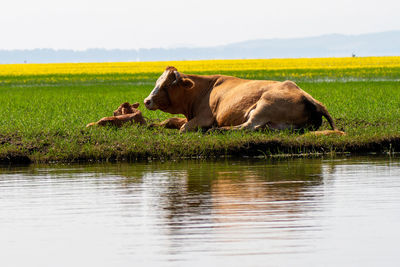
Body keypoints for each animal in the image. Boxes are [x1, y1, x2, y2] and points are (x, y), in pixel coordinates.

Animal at [145, 66, 346, 135]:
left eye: (166, 85)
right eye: (157, 82)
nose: (147, 101)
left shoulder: (205, 117)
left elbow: (183, 128)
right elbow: (171, 120)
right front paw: (152, 125)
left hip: (263, 106)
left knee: (248, 126)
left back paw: (218, 130)